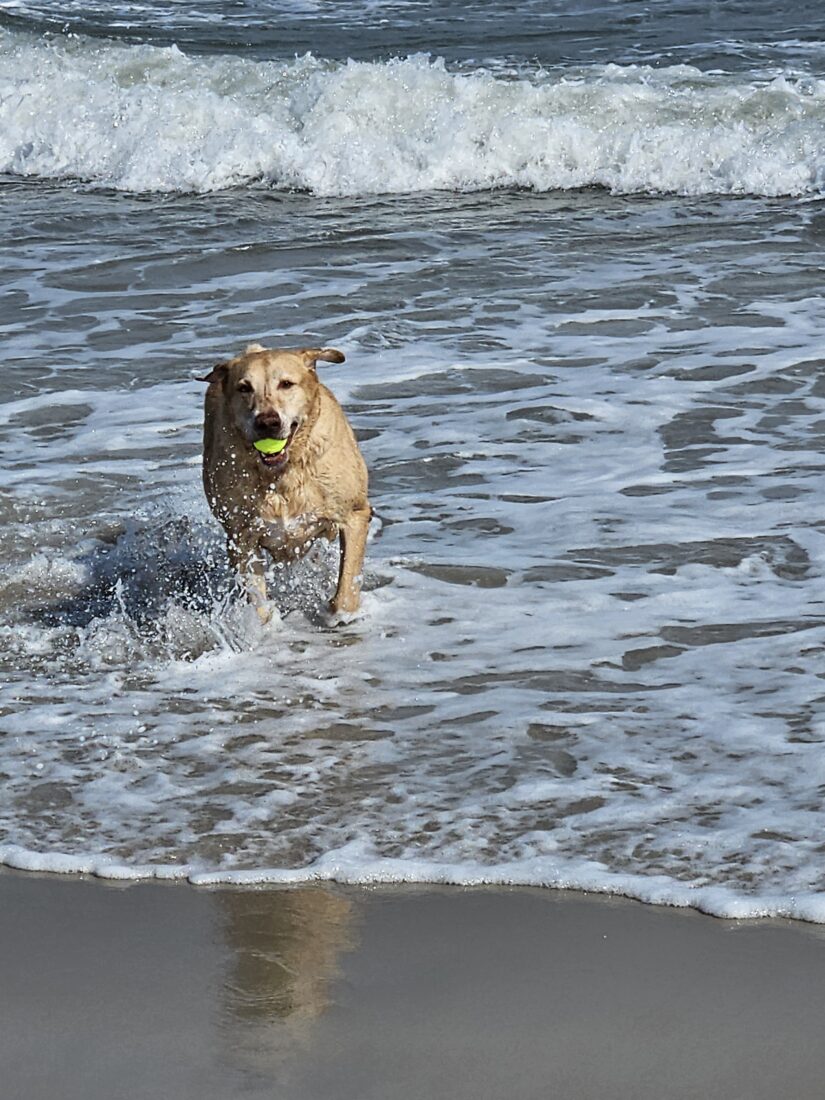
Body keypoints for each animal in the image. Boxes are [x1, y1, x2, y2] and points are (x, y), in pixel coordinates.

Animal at [202, 343, 369, 620]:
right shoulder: (240, 538)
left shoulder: (354, 515)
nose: (267, 422)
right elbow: (258, 604)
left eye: (287, 384)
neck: (281, 474)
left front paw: (340, 615)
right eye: (244, 387)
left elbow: (345, 593)